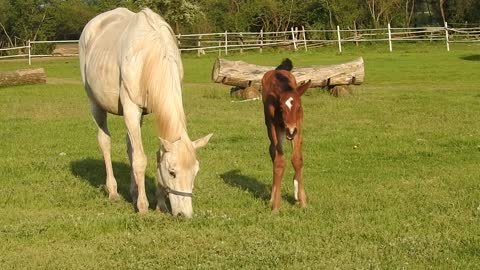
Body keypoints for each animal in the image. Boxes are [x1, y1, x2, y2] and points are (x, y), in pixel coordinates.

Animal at [79, 7, 212, 217]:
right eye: (172, 172)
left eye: (195, 172)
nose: (185, 215)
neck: (148, 56)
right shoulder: (131, 108)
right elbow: (141, 160)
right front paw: (143, 206)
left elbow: (153, 156)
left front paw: (160, 204)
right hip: (96, 104)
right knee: (105, 142)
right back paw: (113, 192)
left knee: (130, 147)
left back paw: (133, 192)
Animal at [260, 58, 314, 211]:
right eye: (281, 108)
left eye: (299, 107)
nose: (290, 130)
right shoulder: (274, 126)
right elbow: (279, 161)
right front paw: (276, 206)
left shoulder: (298, 126)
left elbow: (297, 159)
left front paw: (302, 201)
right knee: (273, 151)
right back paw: (272, 197)